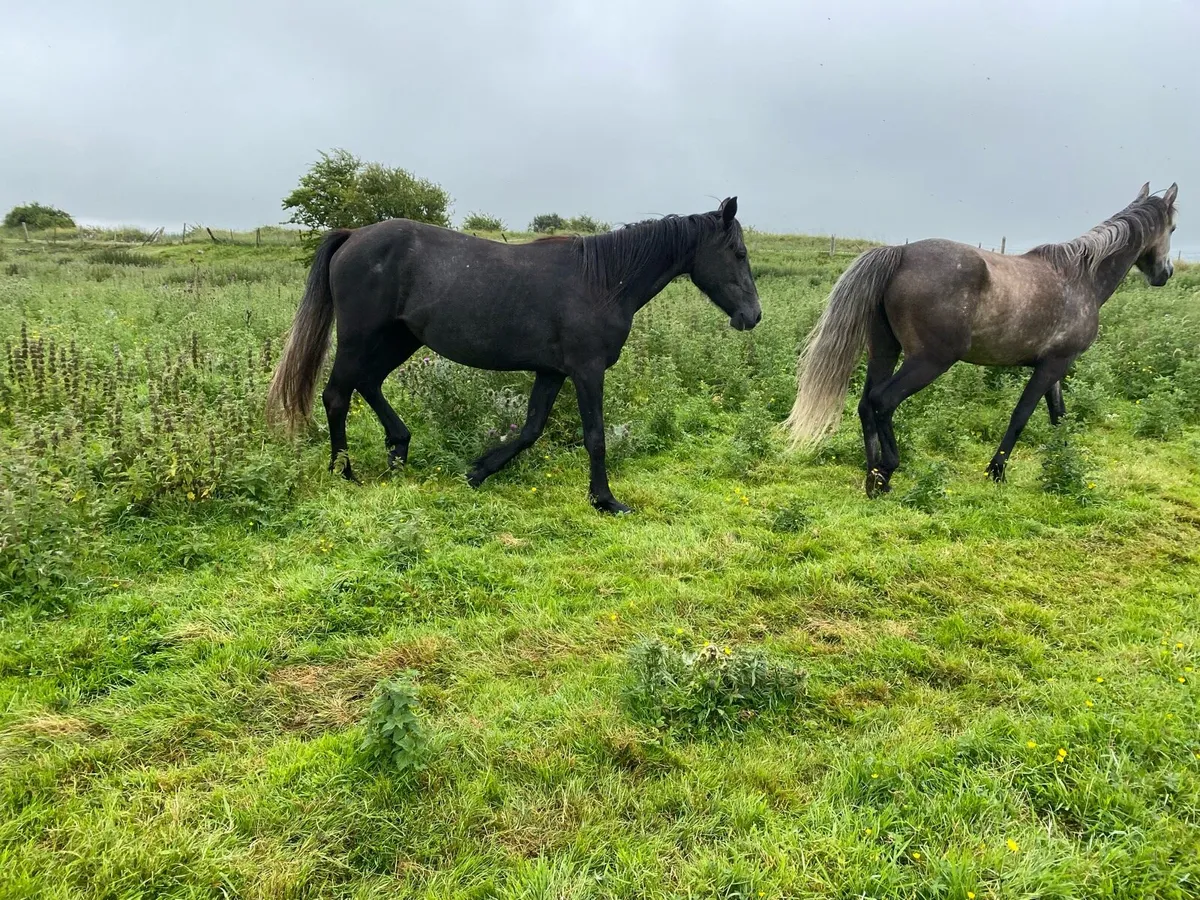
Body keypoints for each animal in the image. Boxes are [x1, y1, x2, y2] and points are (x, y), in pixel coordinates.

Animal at [267, 198, 761, 514]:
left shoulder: (551, 371)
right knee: (337, 395)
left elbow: (529, 430)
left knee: (368, 384)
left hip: (400, 338)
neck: (602, 281)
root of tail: (353, 236)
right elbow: (595, 436)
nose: (752, 315)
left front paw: (477, 472)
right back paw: (344, 472)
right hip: (360, 337)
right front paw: (606, 500)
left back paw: (398, 450)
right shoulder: (587, 371)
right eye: (738, 252)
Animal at [785, 182, 1179, 496]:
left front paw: (1064, 462)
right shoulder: (1053, 365)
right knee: (884, 401)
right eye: (1173, 227)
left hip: (884, 351)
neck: (1081, 277)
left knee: (867, 404)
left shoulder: (1052, 366)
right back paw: (888, 470)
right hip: (929, 361)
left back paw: (873, 477)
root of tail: (900, 253)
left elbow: (1058, 416)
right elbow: (1021, 416)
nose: (1166, 273)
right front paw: (997, 471)